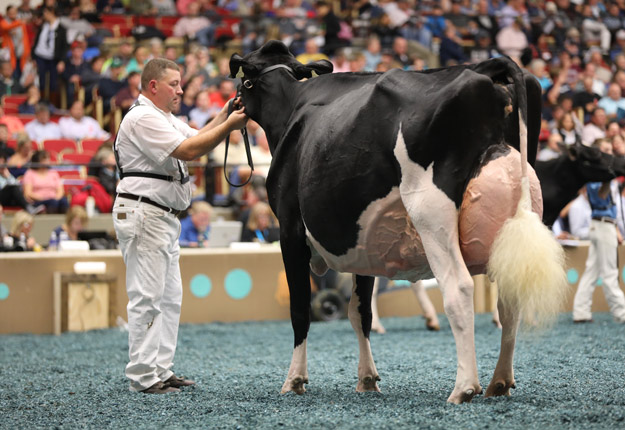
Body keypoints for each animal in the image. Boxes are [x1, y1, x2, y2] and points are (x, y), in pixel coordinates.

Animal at [232, 40, 568, 404]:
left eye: (243, 77)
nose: (233, 105)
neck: (292, 109)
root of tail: (489, 67)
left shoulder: (290, 229)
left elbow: (300, 311)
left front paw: (294, 380)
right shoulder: (361, 241)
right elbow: (360, 312)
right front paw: (367, 379)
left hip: (431, 211)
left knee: (459, 287)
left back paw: (464, 387)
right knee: (510, 294)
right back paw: (500, 382)